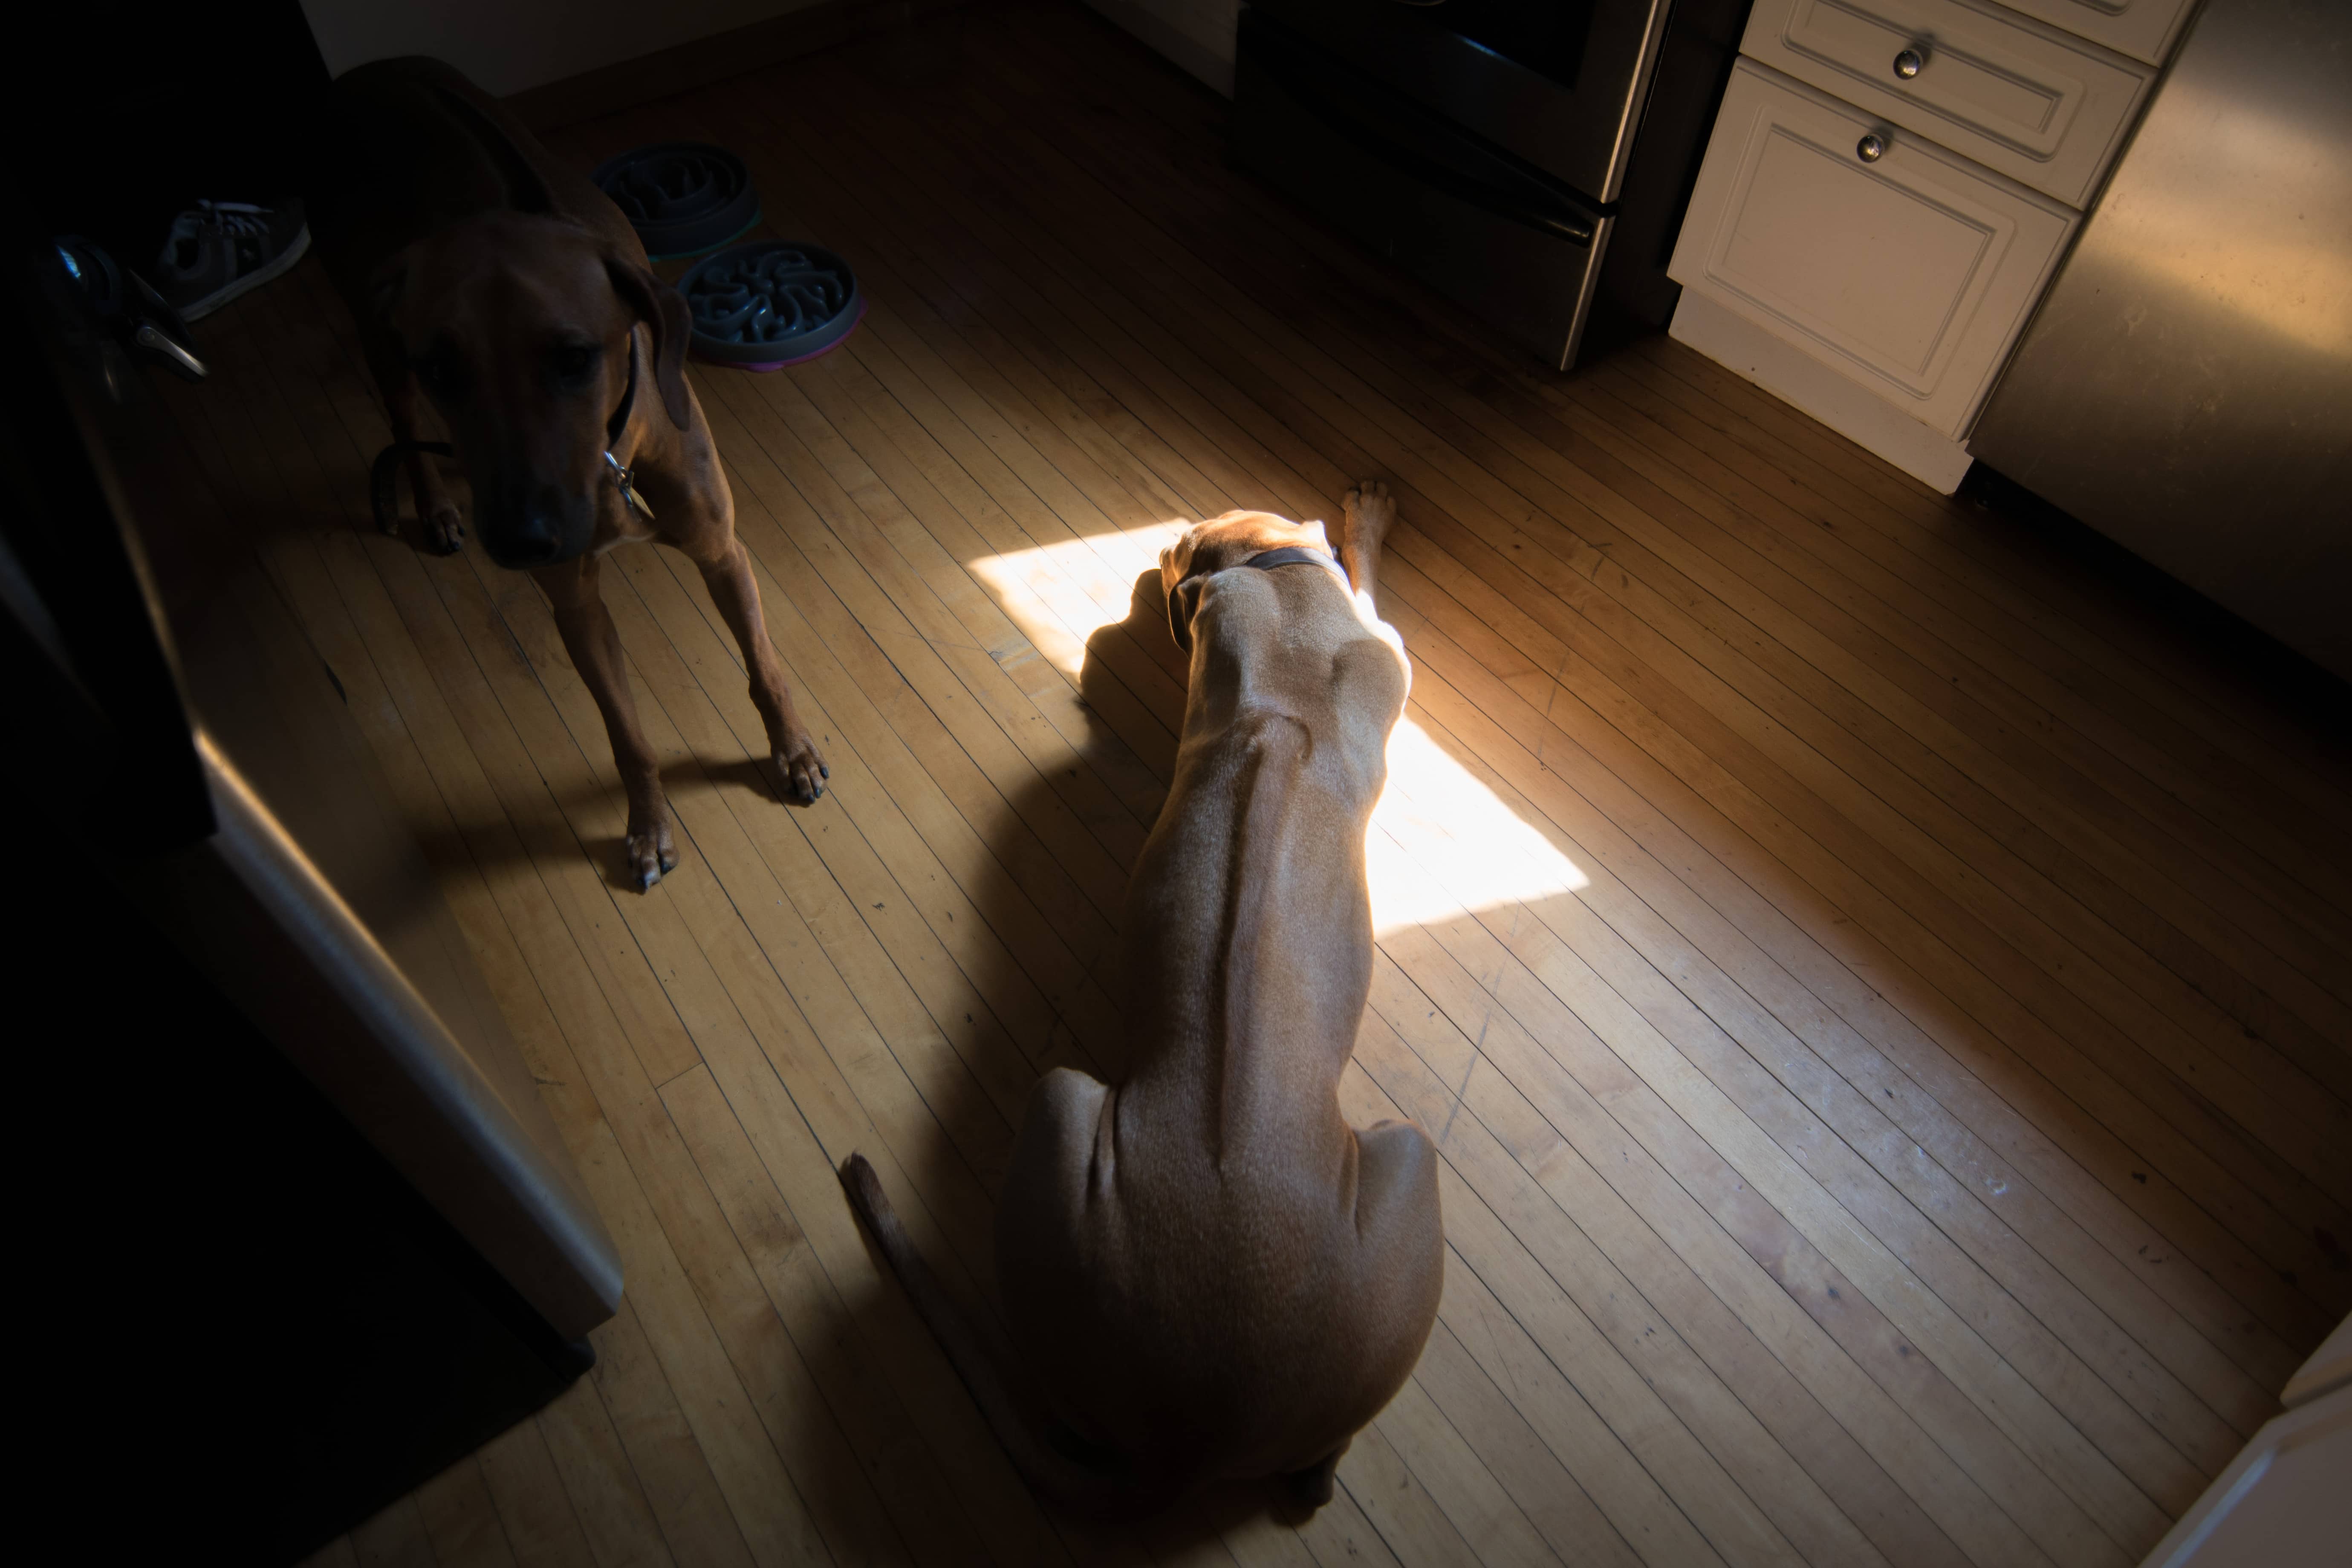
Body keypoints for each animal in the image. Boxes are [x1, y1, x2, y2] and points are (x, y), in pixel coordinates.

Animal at [312, 55, 828, 884]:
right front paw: (647, 826)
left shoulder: (721, 550)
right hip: (374, 326)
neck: (611, 459)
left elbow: (763, 666)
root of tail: (366, 72)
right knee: (401, 420)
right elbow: (627, 735)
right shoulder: (576, 608)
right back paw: (436, 504)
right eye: (444, 369)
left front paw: (794, 753)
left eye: (574, 359)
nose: (521, 539)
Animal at [837, 482, 1439, 1523]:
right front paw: (1366, 518)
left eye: (1175, 551)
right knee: (1317, 1474)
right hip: (1396, 1155)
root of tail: (1195, 1442)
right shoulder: (1382, 637)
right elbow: (1369, 577)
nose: (1152, 558)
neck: (1277, 587)